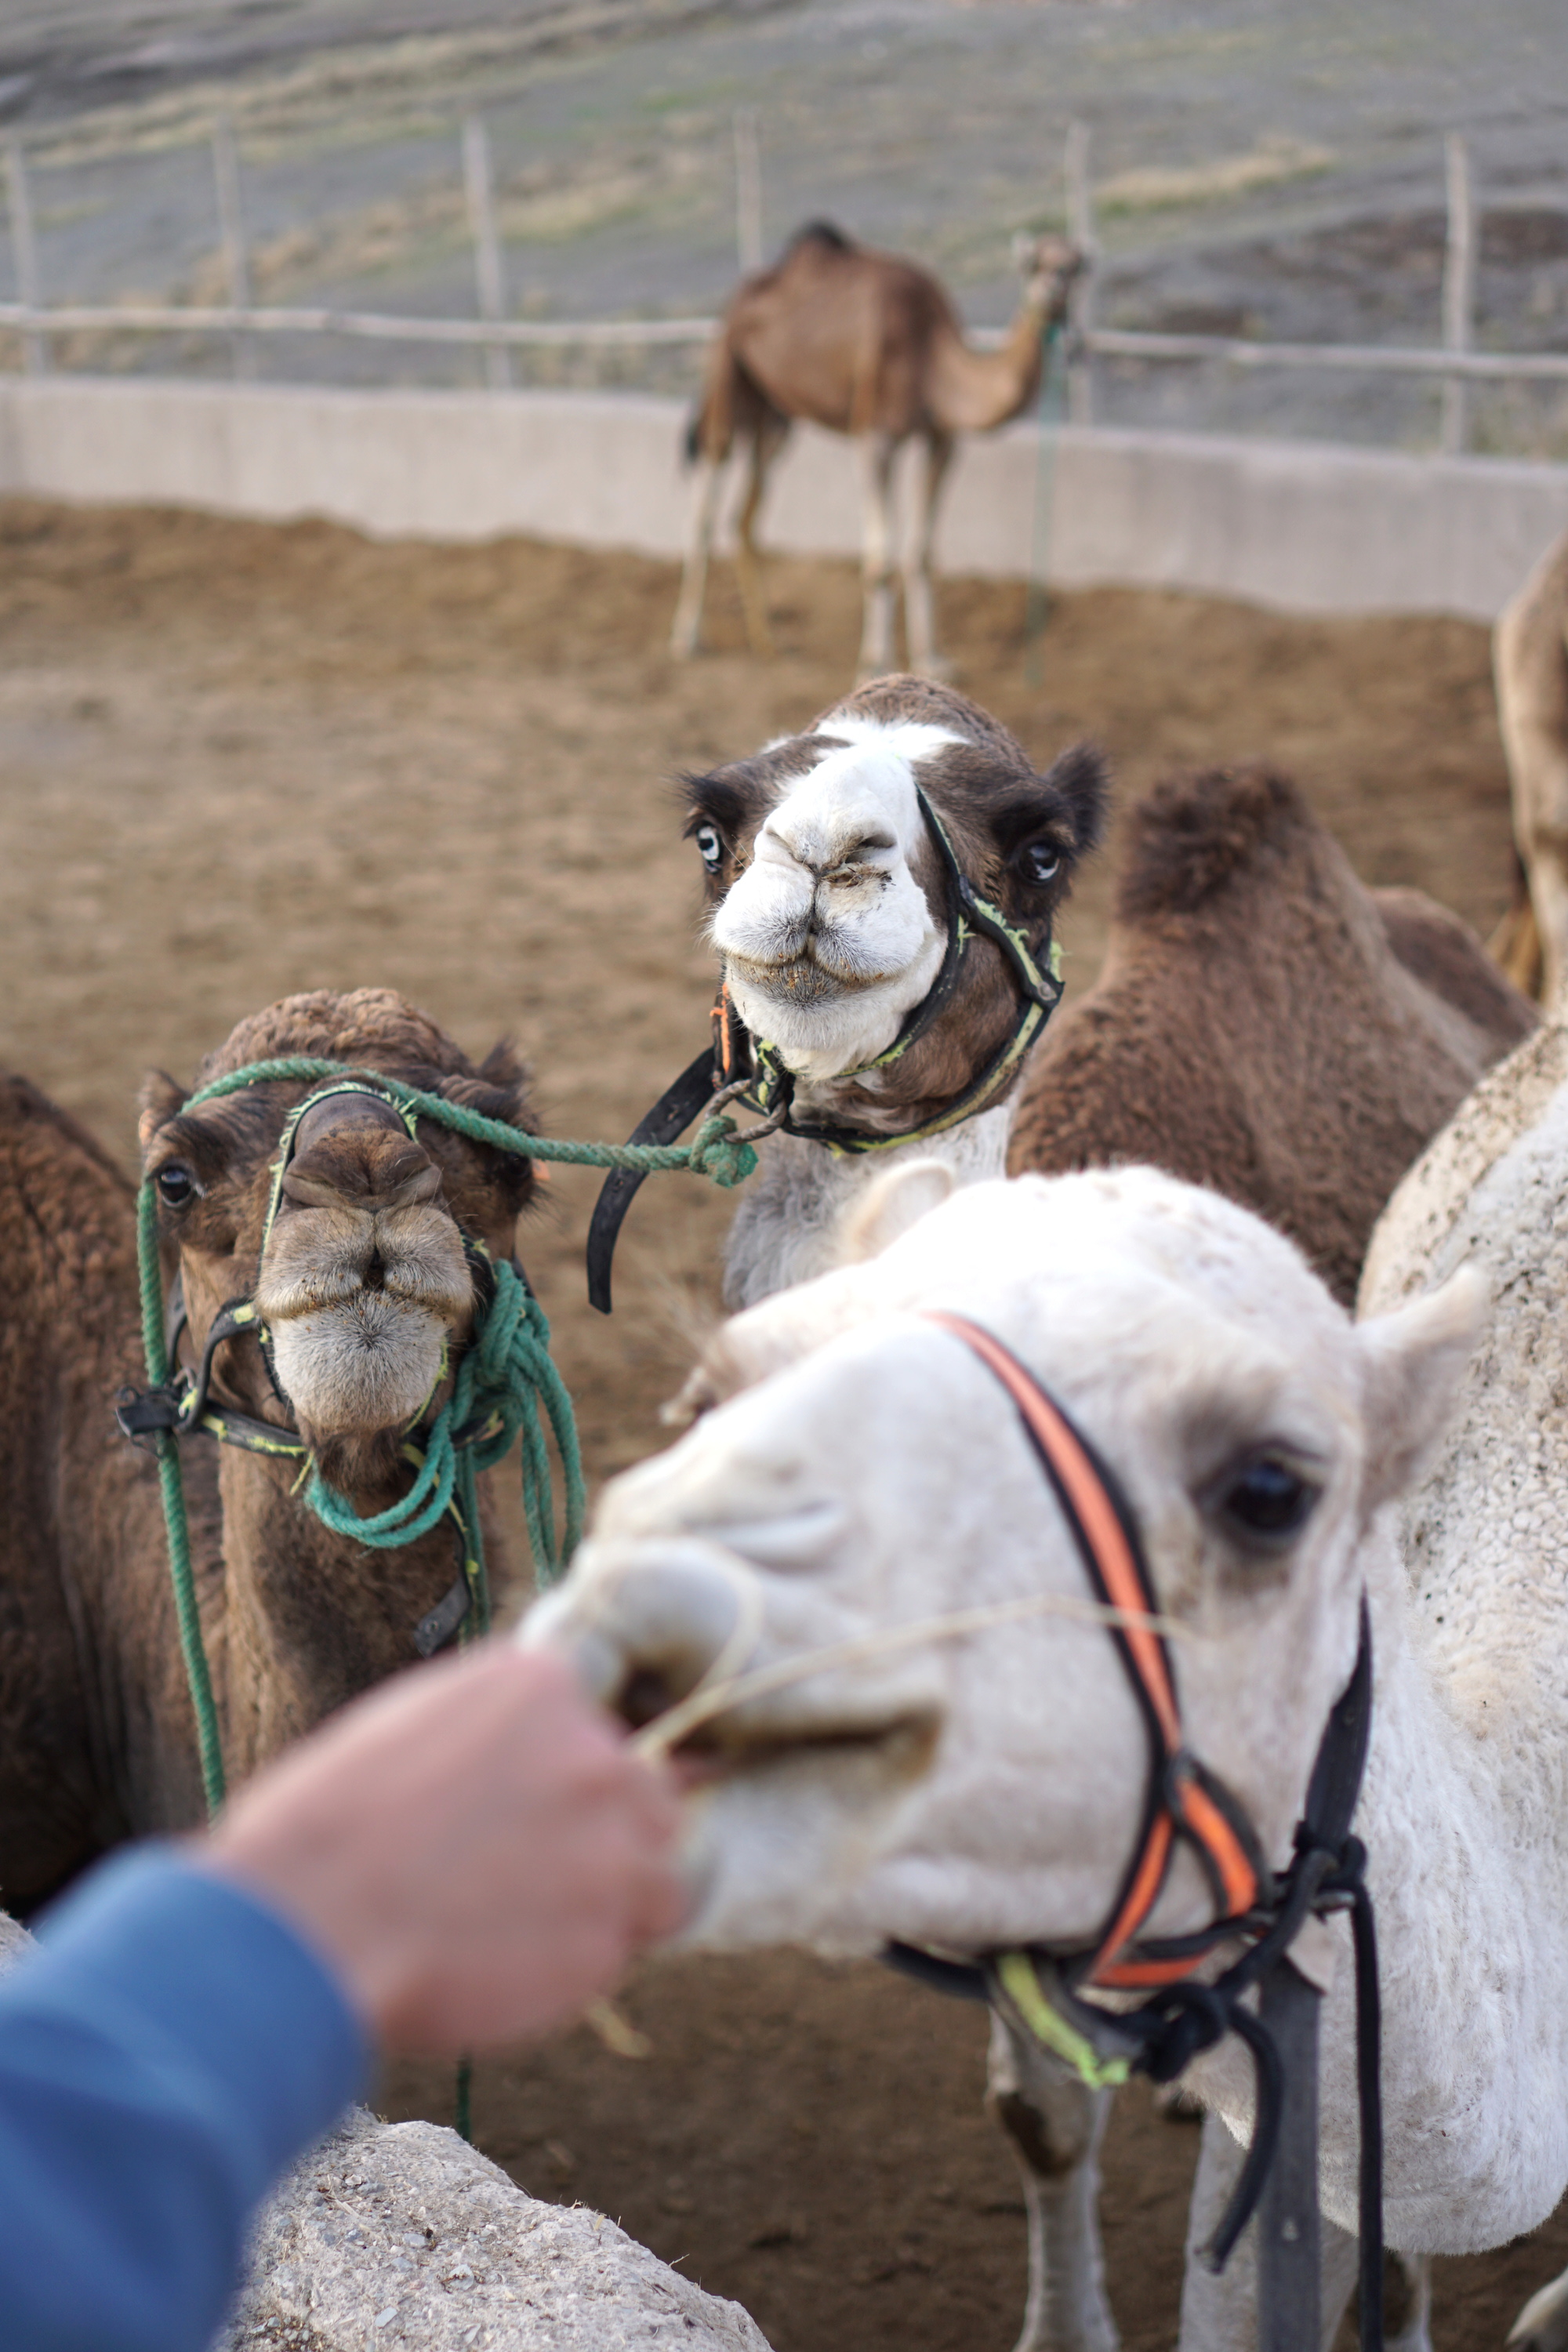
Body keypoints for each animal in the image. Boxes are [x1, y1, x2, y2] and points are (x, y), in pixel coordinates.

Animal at [667, 222, 1086, 682]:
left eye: (1079, 266)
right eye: (1033, 263)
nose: (1055, 285)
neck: (932, 358)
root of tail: (740, 299)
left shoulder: (942, 440)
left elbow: (923, 553)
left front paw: (933, 660)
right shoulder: (876, 437)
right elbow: (880, 562)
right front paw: (874, 664)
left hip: (776, 416)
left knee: (745, 518)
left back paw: (769, 642)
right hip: (729, 374)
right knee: (706, 505)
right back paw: (688, 640)